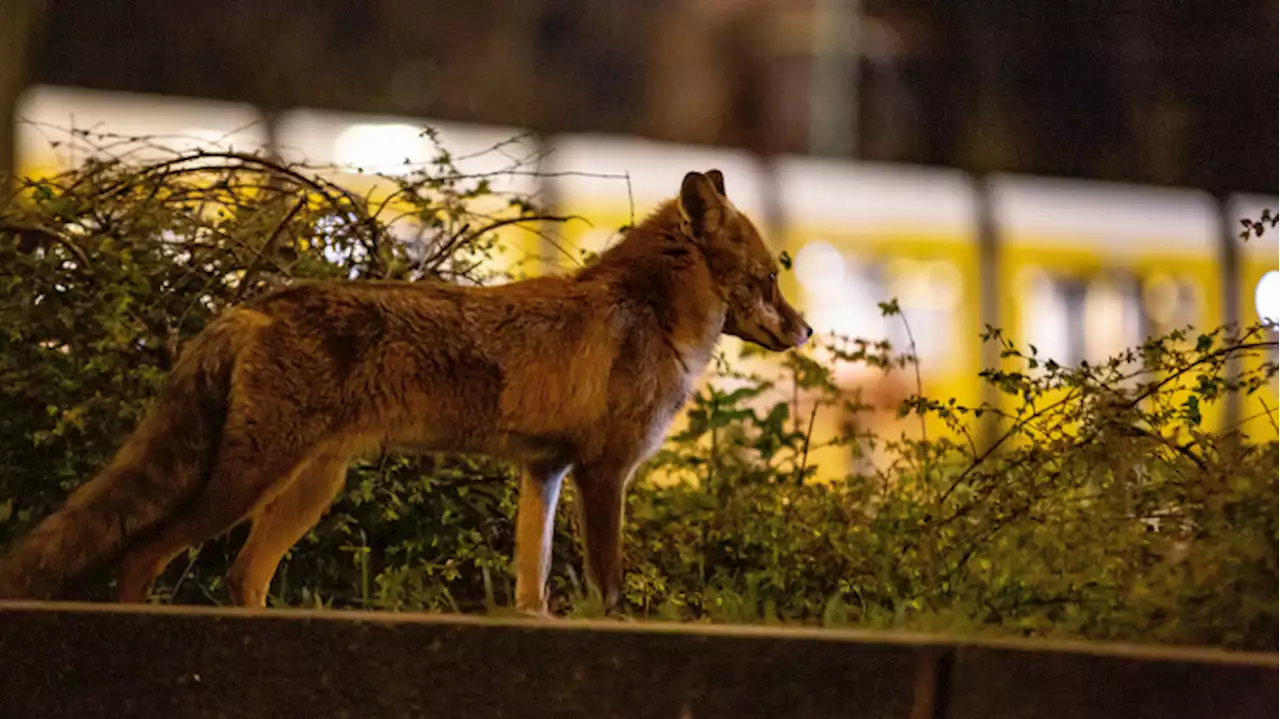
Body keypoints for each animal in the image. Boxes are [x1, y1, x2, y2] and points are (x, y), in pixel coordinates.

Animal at [0, 166, 808, 608]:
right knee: (144, 553)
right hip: (250, 480)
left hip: (307, 488)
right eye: (768, 280)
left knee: (239, 577)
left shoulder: (543, 472)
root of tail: (257, 303)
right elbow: (604, 589)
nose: (803, 330)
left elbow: (533, 589)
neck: (649, 314)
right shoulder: (603, 472)